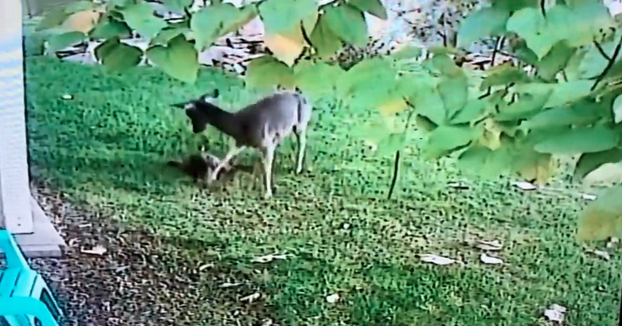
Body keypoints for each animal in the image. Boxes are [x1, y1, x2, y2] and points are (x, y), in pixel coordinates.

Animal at [173, 88, 314, 197]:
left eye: (191, 113)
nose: (196, 130)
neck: (239, 125)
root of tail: (304, 97)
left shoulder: (266, 144)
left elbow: (267, 166)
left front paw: (268, 193)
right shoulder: (240, 142)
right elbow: (227, 156)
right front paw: (210, 179)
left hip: (301, 124)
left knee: (302, 142)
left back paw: (298, 169)